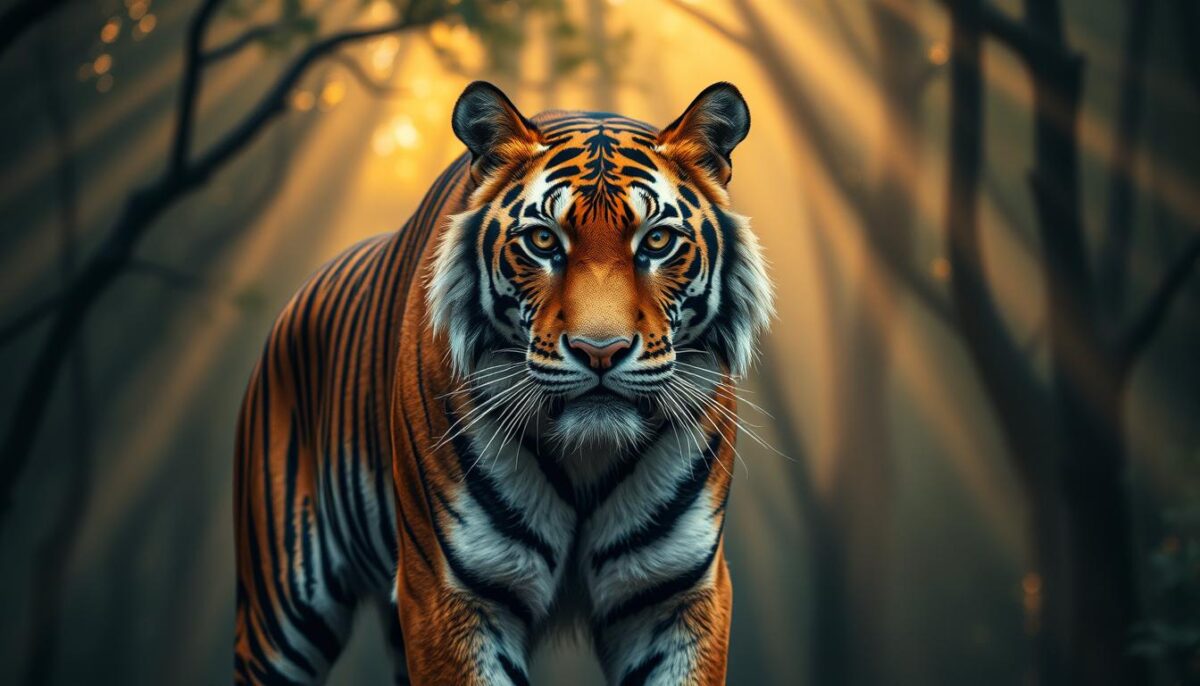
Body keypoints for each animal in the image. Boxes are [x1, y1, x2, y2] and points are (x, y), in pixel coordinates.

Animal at [233, 81, 773, 686]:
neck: (587, 460)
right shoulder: (449, 592)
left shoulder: (675, 595)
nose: (600, 351)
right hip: (283, 609)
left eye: (657, 242)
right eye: (542, 240)